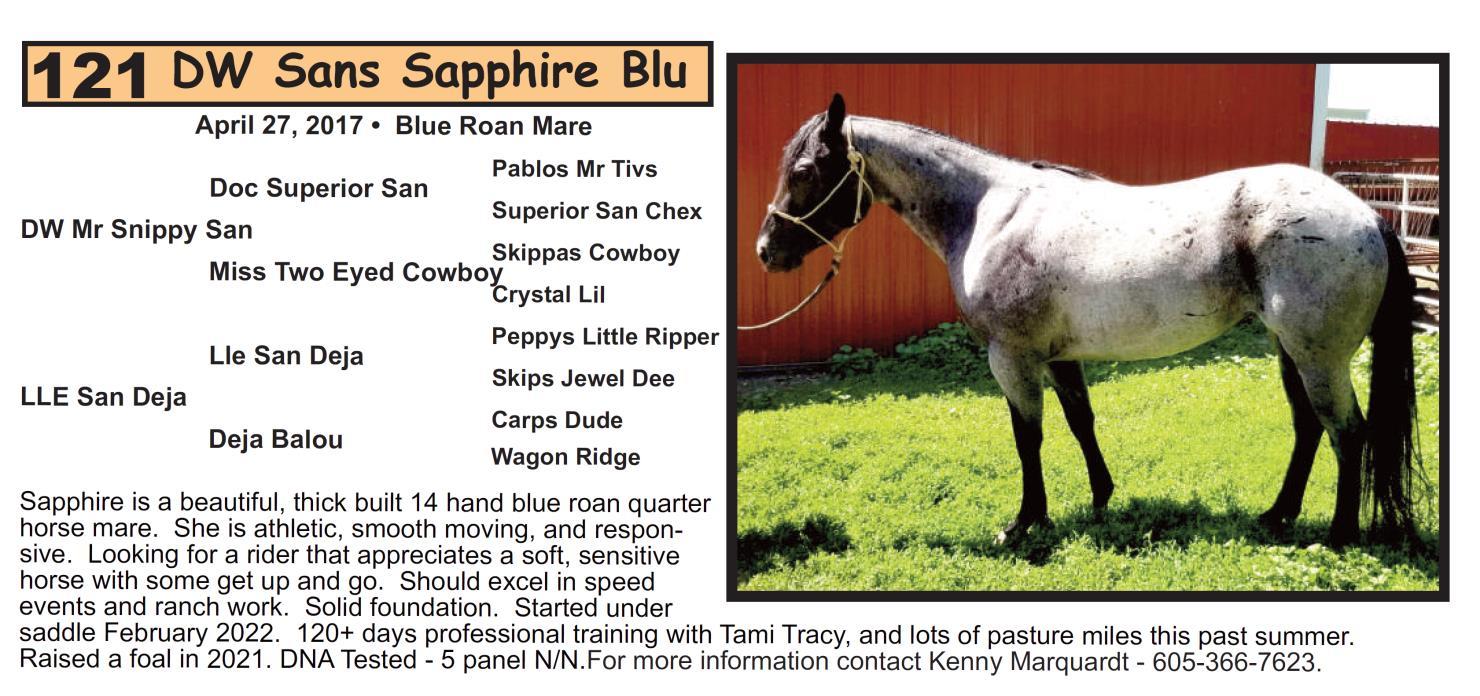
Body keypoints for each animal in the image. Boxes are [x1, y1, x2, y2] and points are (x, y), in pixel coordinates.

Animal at [752, 94, 1421, 548]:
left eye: (805, 171)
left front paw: (1025, 523)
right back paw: (1278, 515)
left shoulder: (1012, 358)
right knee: (1309, 428)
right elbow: (1081, 423)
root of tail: (1365, 213)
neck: (989, 212)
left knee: (1347, 433)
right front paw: (1101, 498)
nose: (766, 251)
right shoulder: (1059, 356)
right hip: (1289, 350)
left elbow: (1028, 437)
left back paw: (1336, 535)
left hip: (1317, 356)